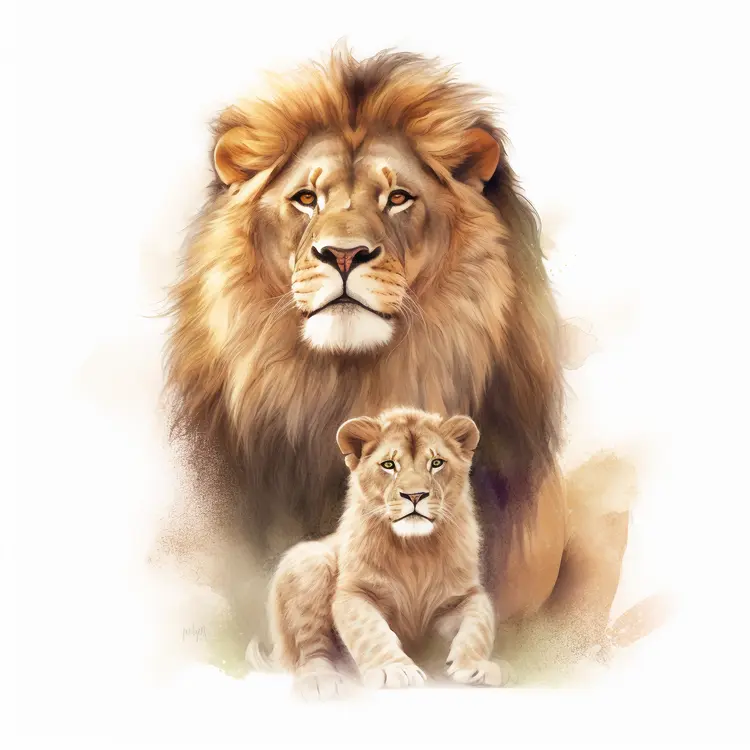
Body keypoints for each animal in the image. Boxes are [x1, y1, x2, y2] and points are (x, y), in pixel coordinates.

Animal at [251, 407, 513, 697]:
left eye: (436, 463)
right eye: (388, 465)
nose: (415, 495)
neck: (415, 550)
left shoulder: (464, 596)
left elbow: (478, 625)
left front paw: (476, 666)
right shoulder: (354, 592)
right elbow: (371, 632)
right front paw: (395, 669)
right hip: (310, 562)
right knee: (310, 651)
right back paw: (322, 681)